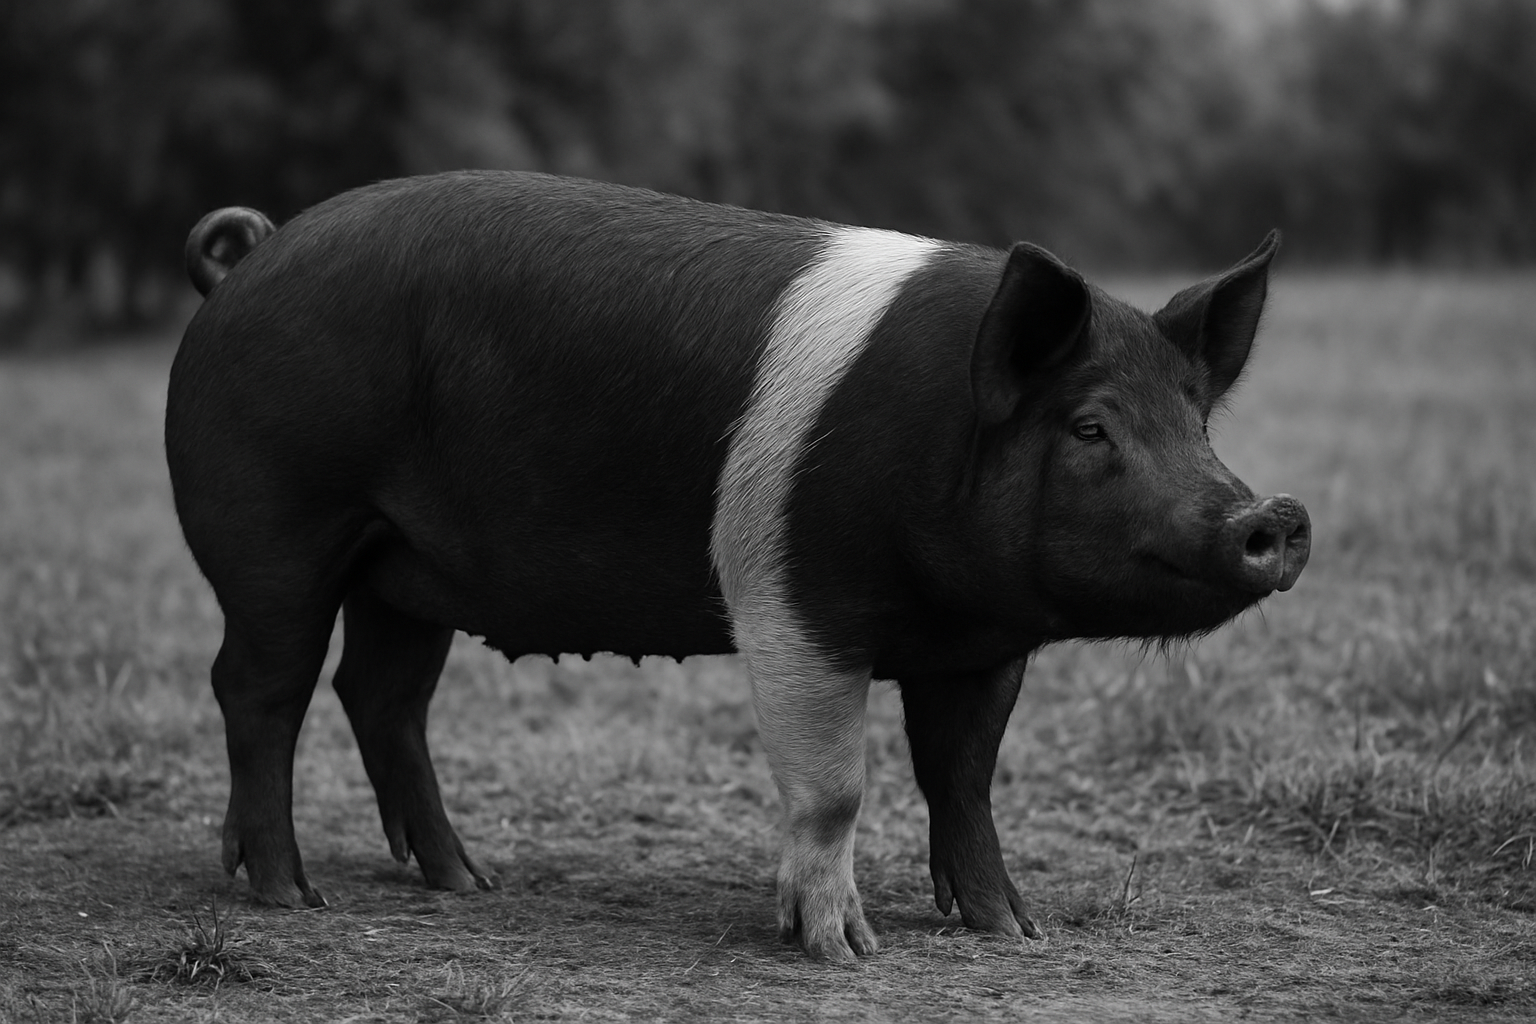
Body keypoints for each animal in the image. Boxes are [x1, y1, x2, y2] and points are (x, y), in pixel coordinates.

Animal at [167, 171, 1309, 962]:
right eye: (1089, 427)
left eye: (1196, 421)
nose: (1274, 514)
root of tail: (245, 261)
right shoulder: (799, 604)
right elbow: (839, 785)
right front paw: (845, 951)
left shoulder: (982, 643)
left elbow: (965, 776)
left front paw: (1012, 930)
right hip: (275, 530)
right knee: (259, 687)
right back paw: (292, 895)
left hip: (404, 569)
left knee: (380, 694)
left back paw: (466, 882)